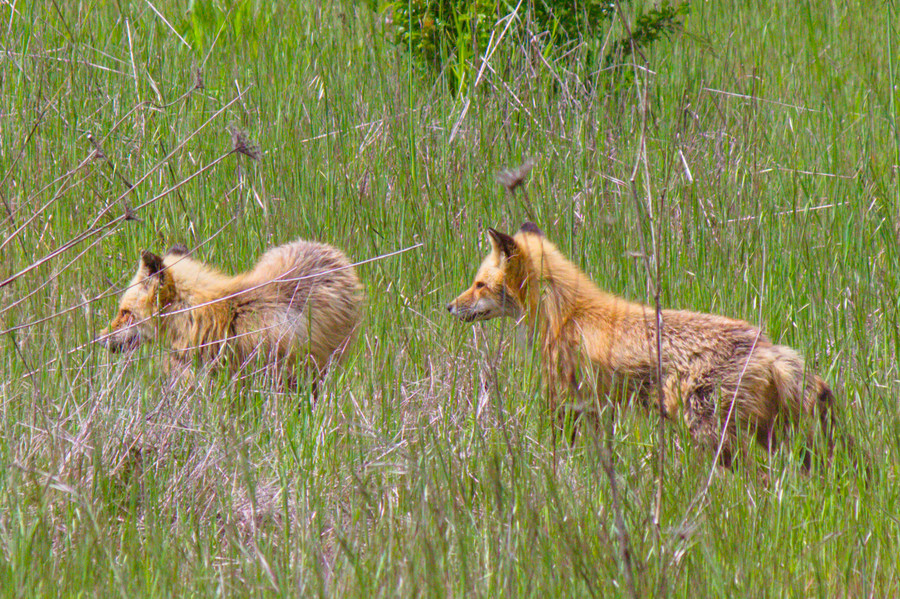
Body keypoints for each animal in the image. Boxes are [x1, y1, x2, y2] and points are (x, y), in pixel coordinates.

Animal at [447, 222, 835, 467]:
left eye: (479, 284)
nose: (449, 307)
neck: (566, 312)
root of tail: (766, 346)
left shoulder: (565, 398)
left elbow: (560, 445)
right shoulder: (599, 407)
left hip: (711, 433)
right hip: (768, 434)